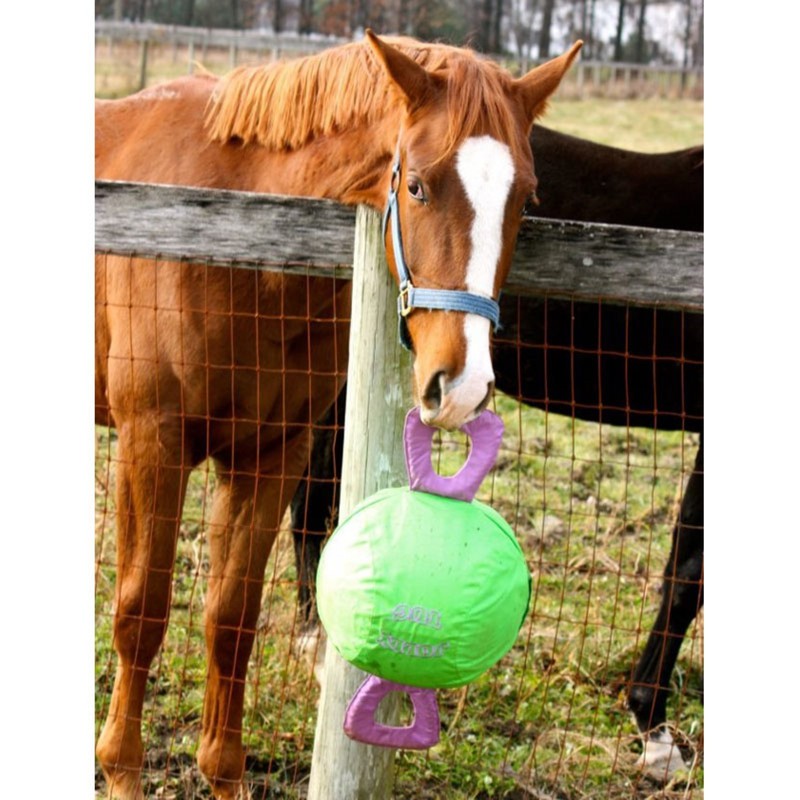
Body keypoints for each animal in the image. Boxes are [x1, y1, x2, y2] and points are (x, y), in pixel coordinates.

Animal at [94, 31, 582, 799]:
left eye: (526, 199)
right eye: (417, 185)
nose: (463, 385)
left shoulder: (272, 455)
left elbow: (232, 618)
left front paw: (223, 773)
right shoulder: (152, 445)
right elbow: (141, 611)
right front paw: (120, 770)